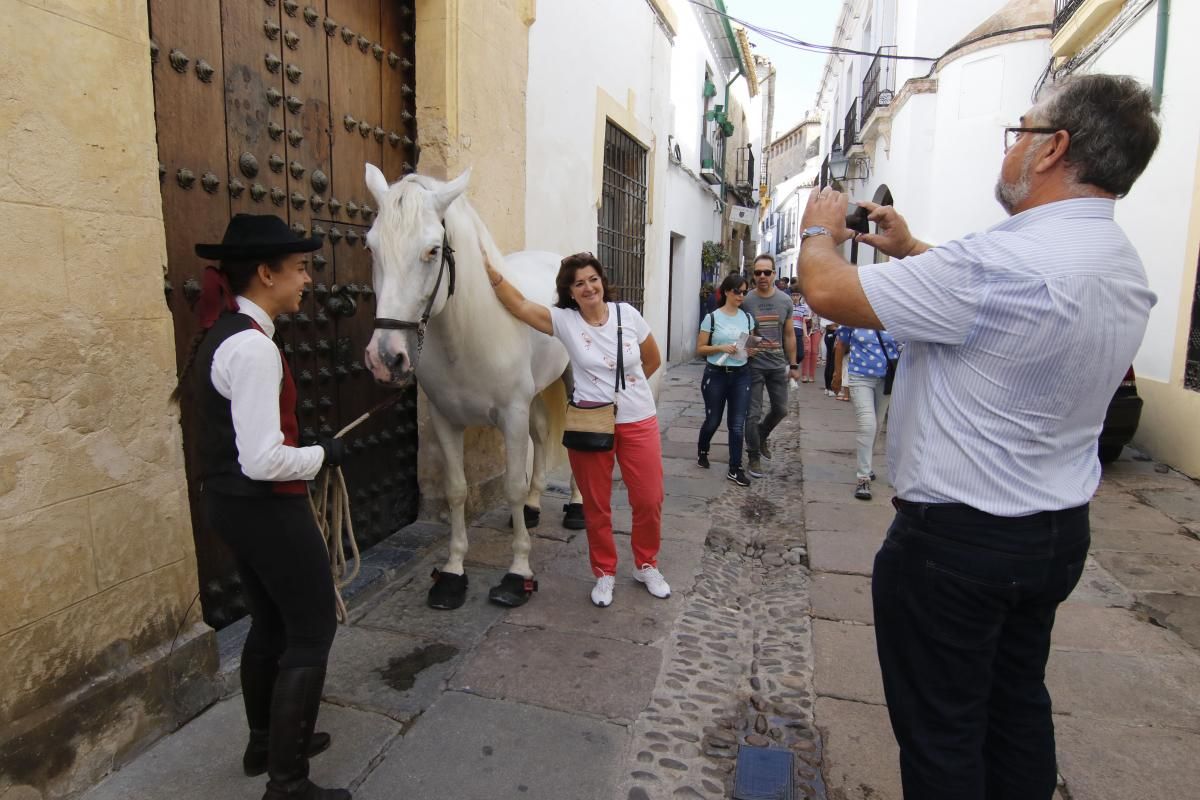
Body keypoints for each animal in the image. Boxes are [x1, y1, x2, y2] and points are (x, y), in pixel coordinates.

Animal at [360, 165, 571, 609]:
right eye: (371, 247)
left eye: (432, 251)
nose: (385, 358)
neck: (469, 335)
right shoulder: (445, 419)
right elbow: (456, 490)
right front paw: (453, 571)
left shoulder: (511, 415)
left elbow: (511, 486)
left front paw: (518, 572)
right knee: (543, 434)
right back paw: (532, 508)